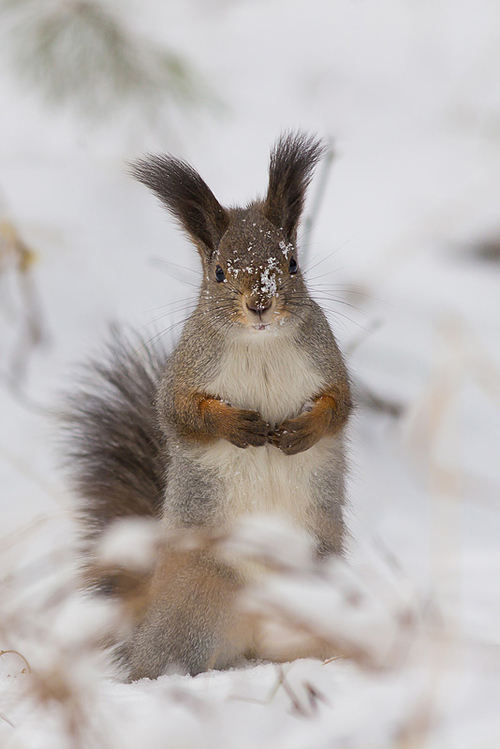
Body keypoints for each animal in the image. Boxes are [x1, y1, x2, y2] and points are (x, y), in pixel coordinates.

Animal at [63, 133, 352, 676]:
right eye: (218, 272)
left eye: (292, 263)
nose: (259, 303)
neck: (260, 343)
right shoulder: (185, 372)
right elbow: (179, 415)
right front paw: (236, 426)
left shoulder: (328, 361)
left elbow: (339, 407)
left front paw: (301, 431)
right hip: (196, 606)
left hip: (314, 593)